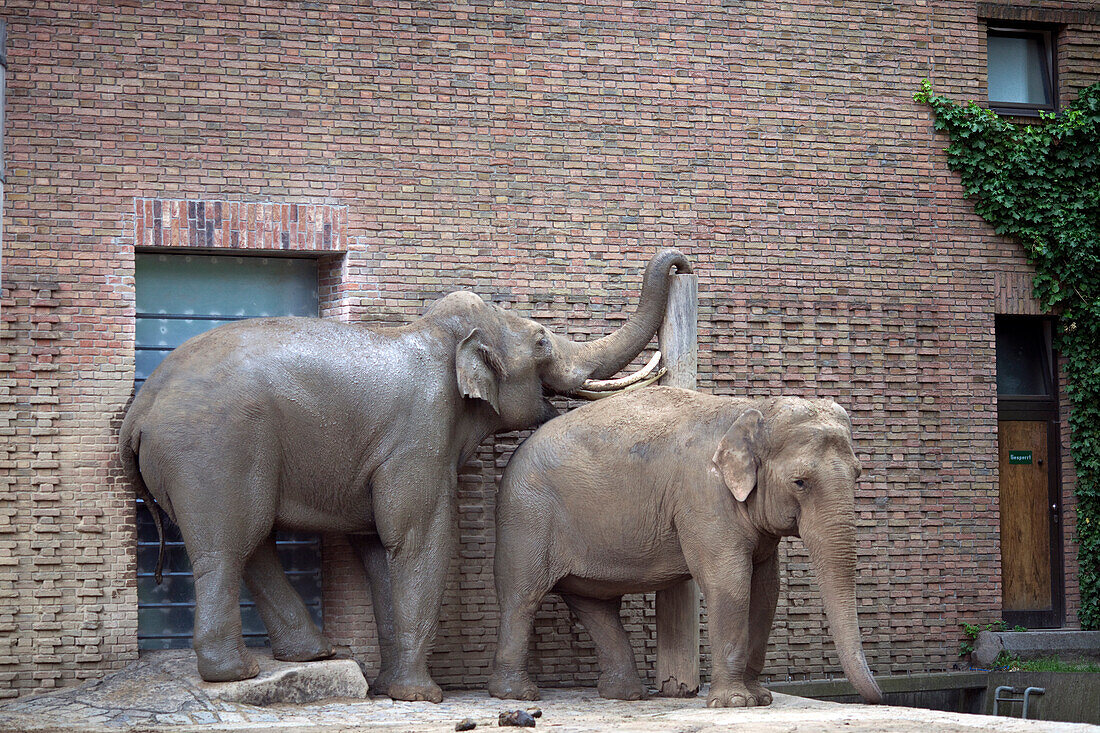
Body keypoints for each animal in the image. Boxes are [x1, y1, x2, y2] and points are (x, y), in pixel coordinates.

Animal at [120, 248, 686, 699]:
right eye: (543, 341)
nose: (679, 263)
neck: (437, 335)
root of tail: (139, 411)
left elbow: (378, 548)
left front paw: (393, 688)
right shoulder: (420, 432)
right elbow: (419, 537)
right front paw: (422, 696)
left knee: (252, 544)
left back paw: (311, 655)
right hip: (213, 449)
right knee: (231, 543)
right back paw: (234, 672)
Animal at [490, 385, 884, 704]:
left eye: (858, 473)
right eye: (800, 482)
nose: (878, 698)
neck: (751, 410)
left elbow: (766, 588)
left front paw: (760, 699)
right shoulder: (704, 497)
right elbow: (730, 582)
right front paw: (735, 703)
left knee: (596, 606)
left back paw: (625, 695)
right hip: (527, 516)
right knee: (522, 597)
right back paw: (518, 695)